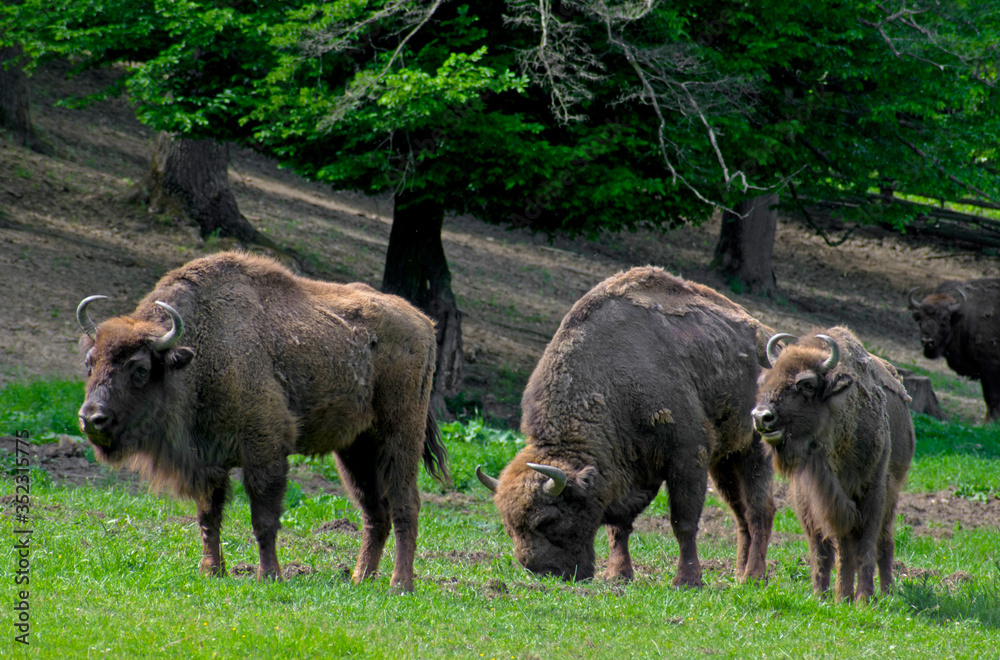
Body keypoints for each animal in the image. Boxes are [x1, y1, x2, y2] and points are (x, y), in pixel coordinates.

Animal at [77, 251, 448, 591]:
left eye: (140, 369)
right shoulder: (209, 463)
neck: (197, 355)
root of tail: (424, 324)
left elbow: (263, 519)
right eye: (90, 362)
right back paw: (360, 579)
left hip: (400, 436)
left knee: (405, 505)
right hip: (355, 450)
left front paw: (269, 575)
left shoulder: (265, 450)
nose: (91, 418)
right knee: (375, 513)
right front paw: (212, 571)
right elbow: (208, 516)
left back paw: (400, 584)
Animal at [477, 267, 776, 586]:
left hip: (754, 449)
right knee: (740, 515)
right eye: (508, 526)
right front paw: (618, 575)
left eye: (548, 519)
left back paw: (753, 576)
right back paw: (739, 573)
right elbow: (617, 527)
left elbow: (683, 522)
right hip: (725, 461)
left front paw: (686, 580)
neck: (611, 382)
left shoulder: (688, 456)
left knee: (759, 511)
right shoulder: (628, 471)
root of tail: (769, 338)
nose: (540, 571)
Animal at [752, 327, 914, 602]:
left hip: (892, 493)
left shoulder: (872, 492)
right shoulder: (817, 498)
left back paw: (887, 592)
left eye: (807, 384)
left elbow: (864, 546)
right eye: (765, 381)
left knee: (884, 540)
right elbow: (828, 548)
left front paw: (862, 600)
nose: (762, 417)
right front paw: (830, 596)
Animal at [908, 279, 1000, 423]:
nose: (928, 341)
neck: (963, 316)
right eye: (920, 318)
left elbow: (992, 397)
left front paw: (989, 422)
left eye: (945, 318)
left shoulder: (990, 367)